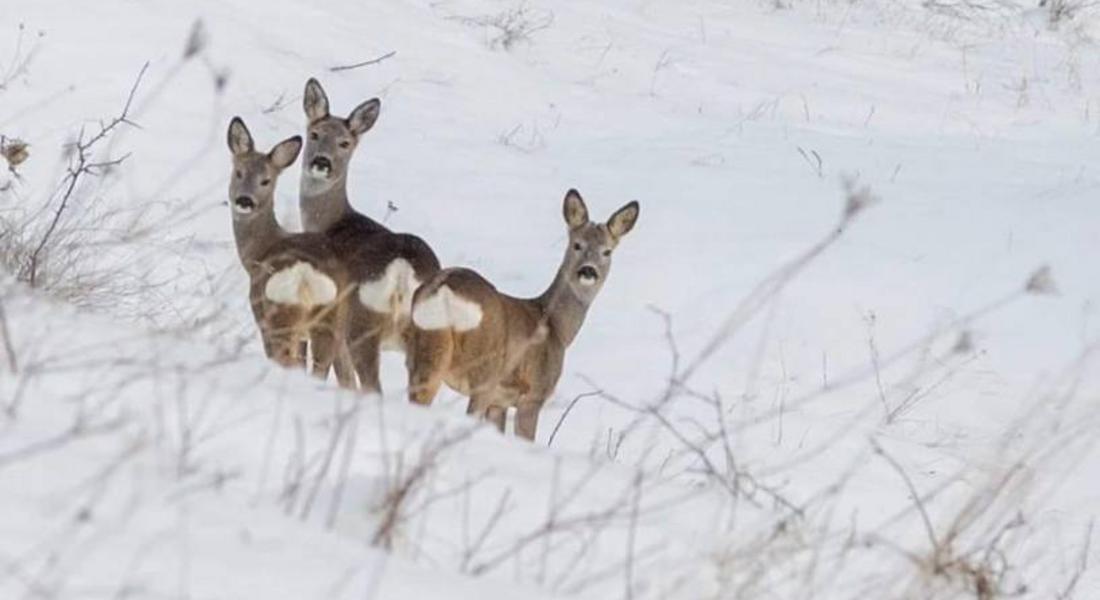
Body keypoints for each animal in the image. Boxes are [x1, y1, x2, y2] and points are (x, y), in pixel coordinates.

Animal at [225, 116, 354, 387]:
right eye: (239, 172)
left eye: (266, 181)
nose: (244, 201)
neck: (259, 253)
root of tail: (305, 277)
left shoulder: (259, 313)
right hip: (331, 320)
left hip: (280, 316)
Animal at [299, 77, 444, 391]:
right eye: (314, 133)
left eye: (345, 143)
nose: (322, 162)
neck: (330, 222)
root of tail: (403, 270)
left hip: (361, 325)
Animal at [409, 189, 642, 438]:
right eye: (577, 245)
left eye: (607, 251)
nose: (588, 270)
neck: (557, 328)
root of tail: (442, 289)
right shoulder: (533, 394)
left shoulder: (500, 402)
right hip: (485, 370)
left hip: (425, 350)